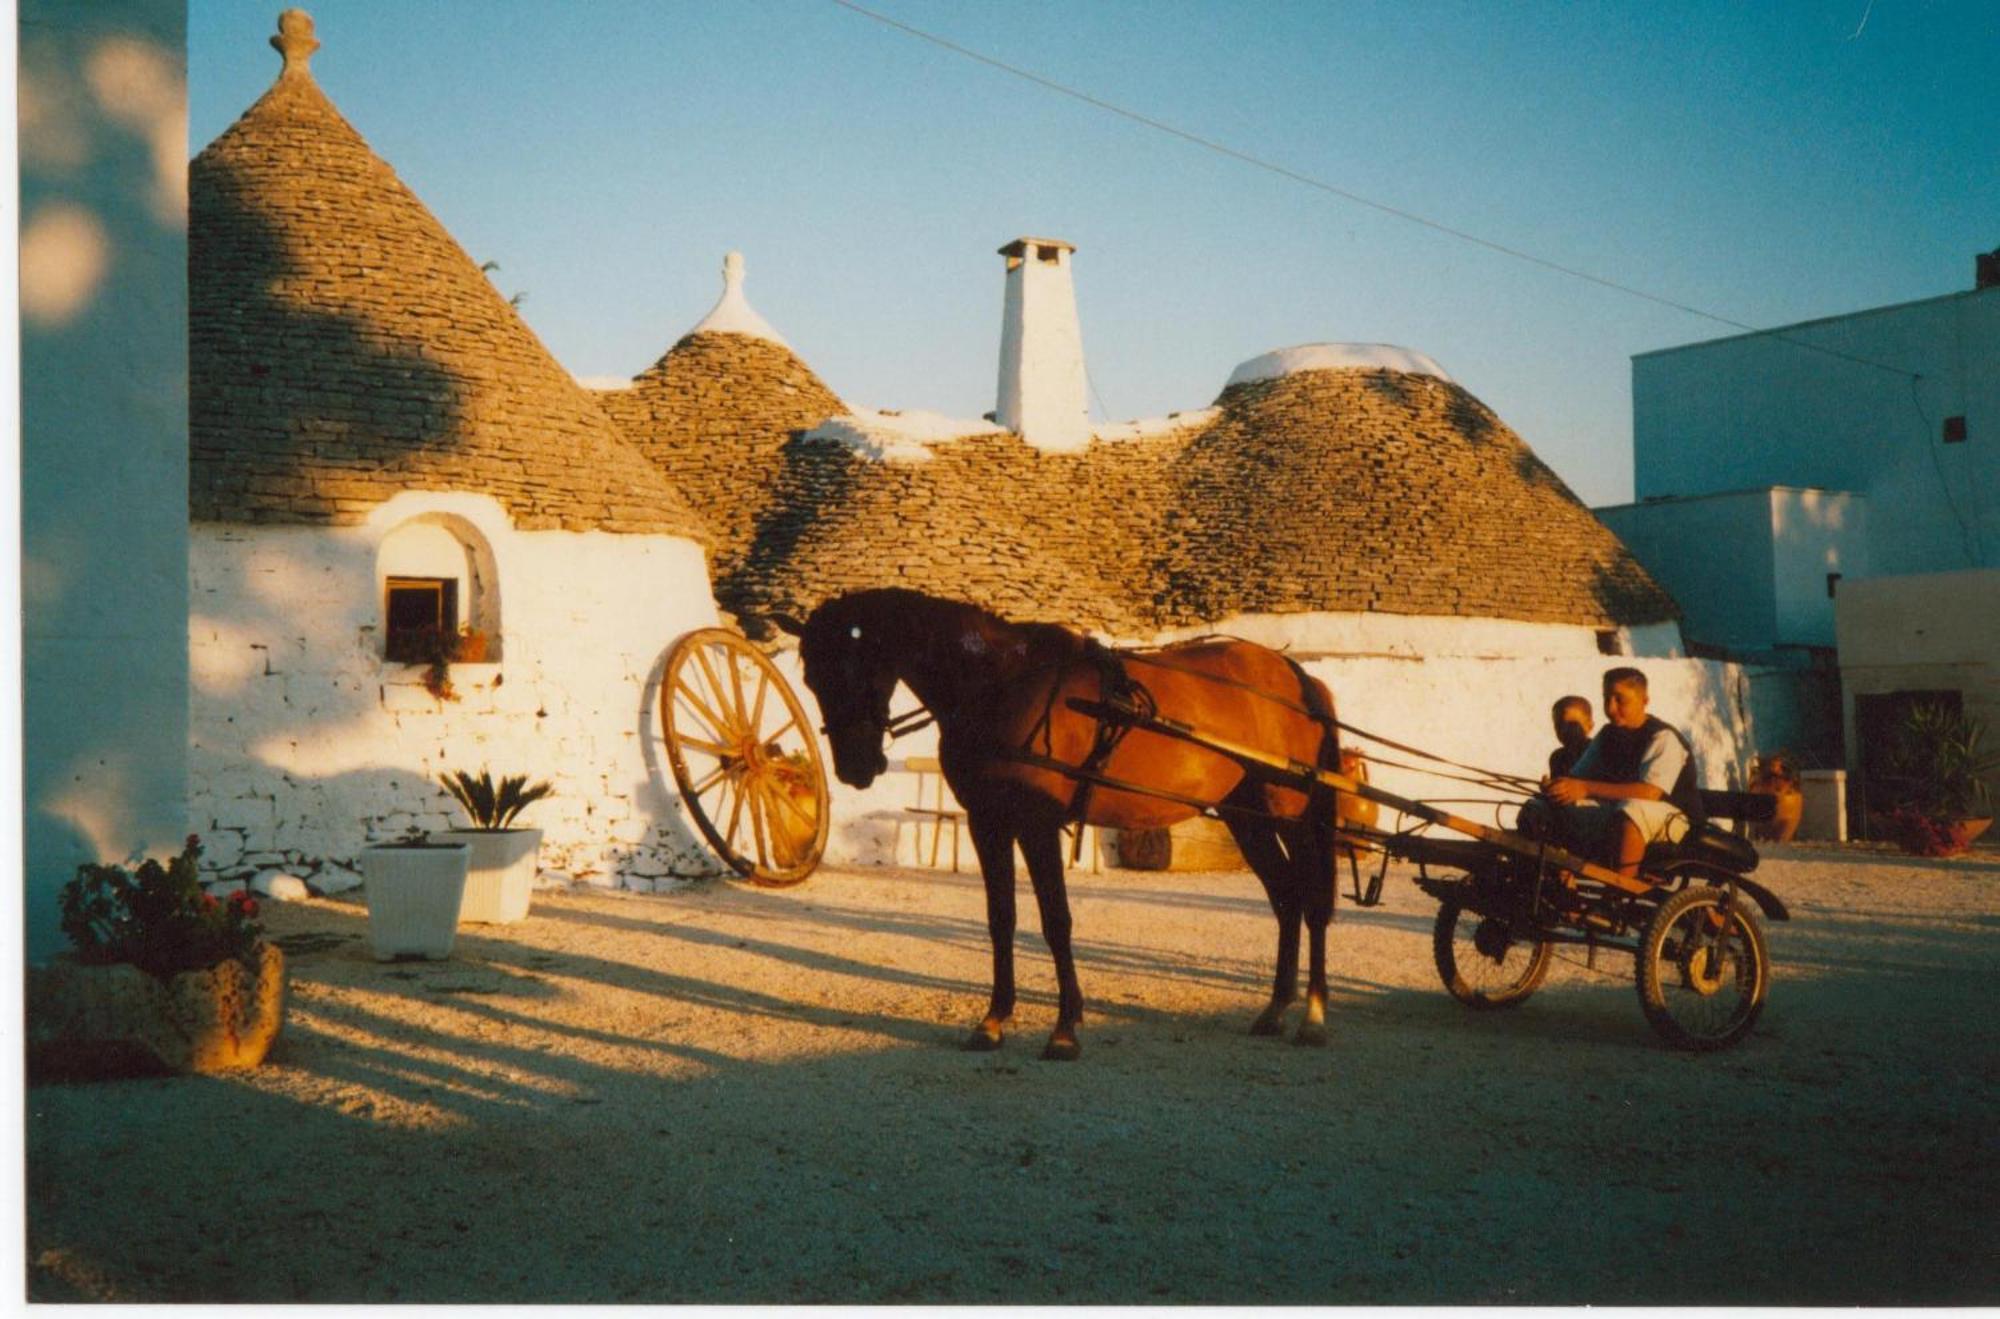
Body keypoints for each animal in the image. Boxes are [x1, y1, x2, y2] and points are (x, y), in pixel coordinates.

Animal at [780, 587, 1344, 1063]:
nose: (856, 767)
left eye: (857, 670)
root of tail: (1297, 676)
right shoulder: (988, 823)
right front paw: (993, 1020)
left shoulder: (1037, 823)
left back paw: (1314, 1017)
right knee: (1287, 898)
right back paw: (1275, 1009)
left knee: (1313, 900)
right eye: (811, 678)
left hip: (1289, 814)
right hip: (1246, 816)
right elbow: (1001, 918)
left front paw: (1065, 1028)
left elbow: (1056, 921)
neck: (1000, 684)